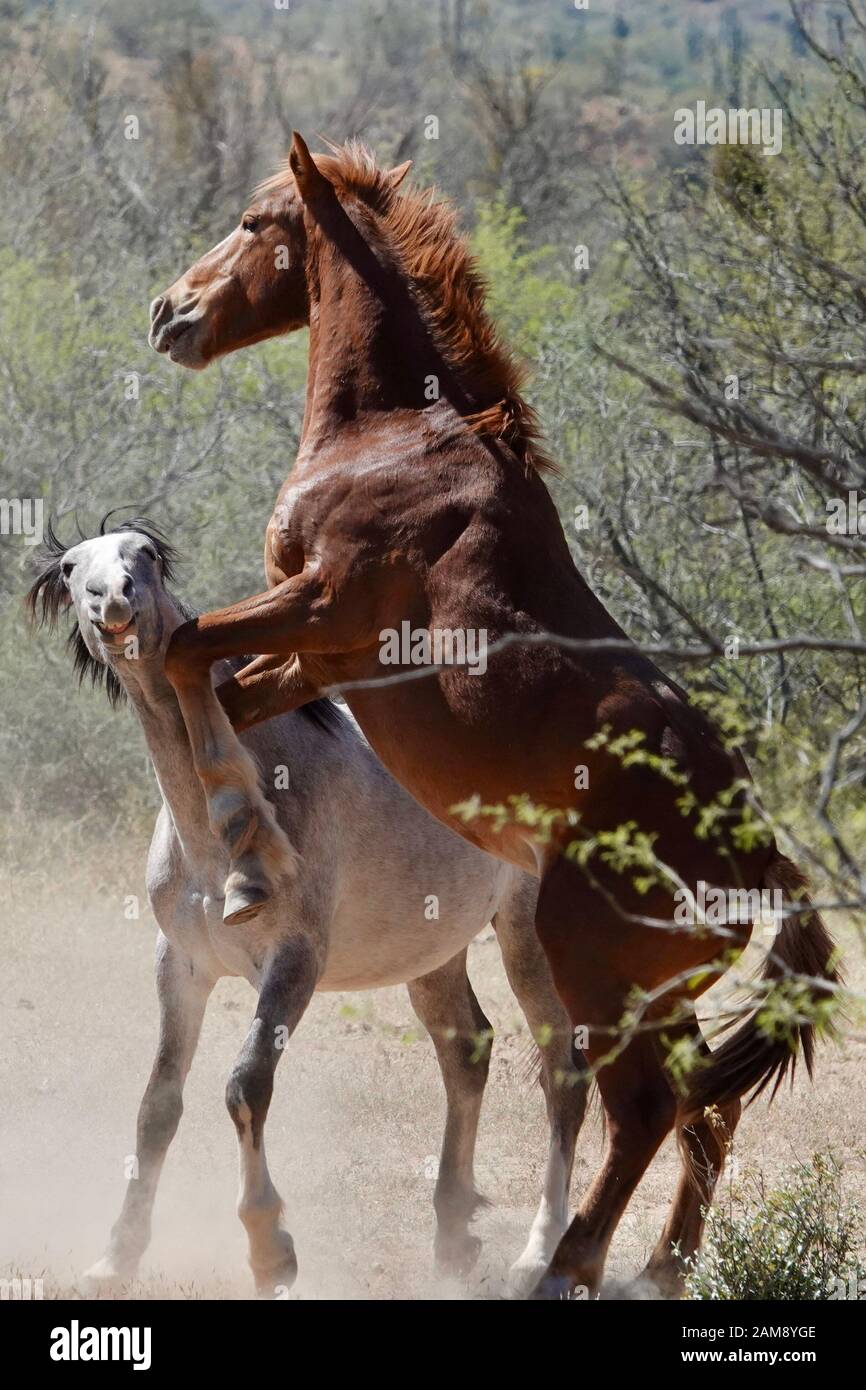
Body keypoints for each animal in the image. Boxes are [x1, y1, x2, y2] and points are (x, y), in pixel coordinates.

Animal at [27, 519, 586, 1289]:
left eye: (146, 554)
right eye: (73, 567)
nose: (113, 600)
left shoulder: (294, 962)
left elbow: (244, 1086)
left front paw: (272, 1252)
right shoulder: (180, 966)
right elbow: (157, 1104)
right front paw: (115, 1258)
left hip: (526, 940)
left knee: (564, 1070)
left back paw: (539, 1256)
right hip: (431, 950)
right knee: (466, 1051)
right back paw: (450, 1241)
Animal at [150, 135, 839, 1295]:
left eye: (252, 221)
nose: (168, 312)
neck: (396, 435)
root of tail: (761, 855)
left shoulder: (322, 608)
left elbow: (182, 648)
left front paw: (241, 859)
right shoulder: (315, 657)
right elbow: (216, 692)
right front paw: (240, 850)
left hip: (588, 965)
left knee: (643, 1105)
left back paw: (560, 1265)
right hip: (654, 992)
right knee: (702, 1103)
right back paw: (653, 1267)